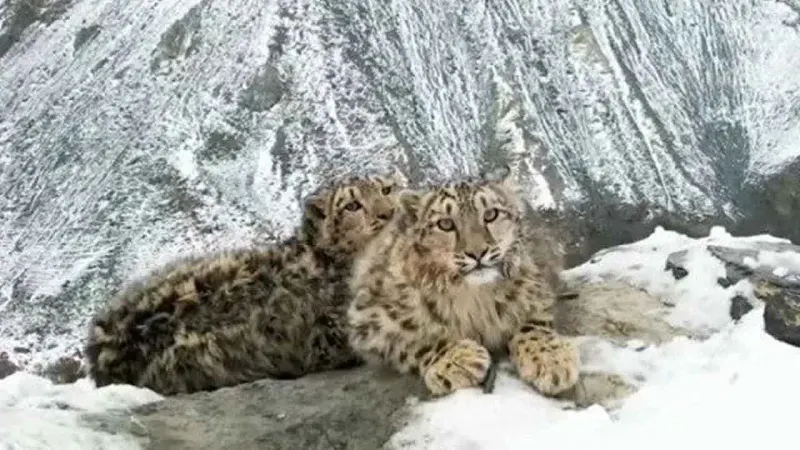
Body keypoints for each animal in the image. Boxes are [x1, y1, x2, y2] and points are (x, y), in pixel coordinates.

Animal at [346, 167, 579, 397]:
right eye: (445, 224)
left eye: (491, 214)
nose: (477, 253)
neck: (476, 298)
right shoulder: (371, 318)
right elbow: (413, 342)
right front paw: (458, 360)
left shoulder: (539, 278)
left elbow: (533, 320)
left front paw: (551, 359)